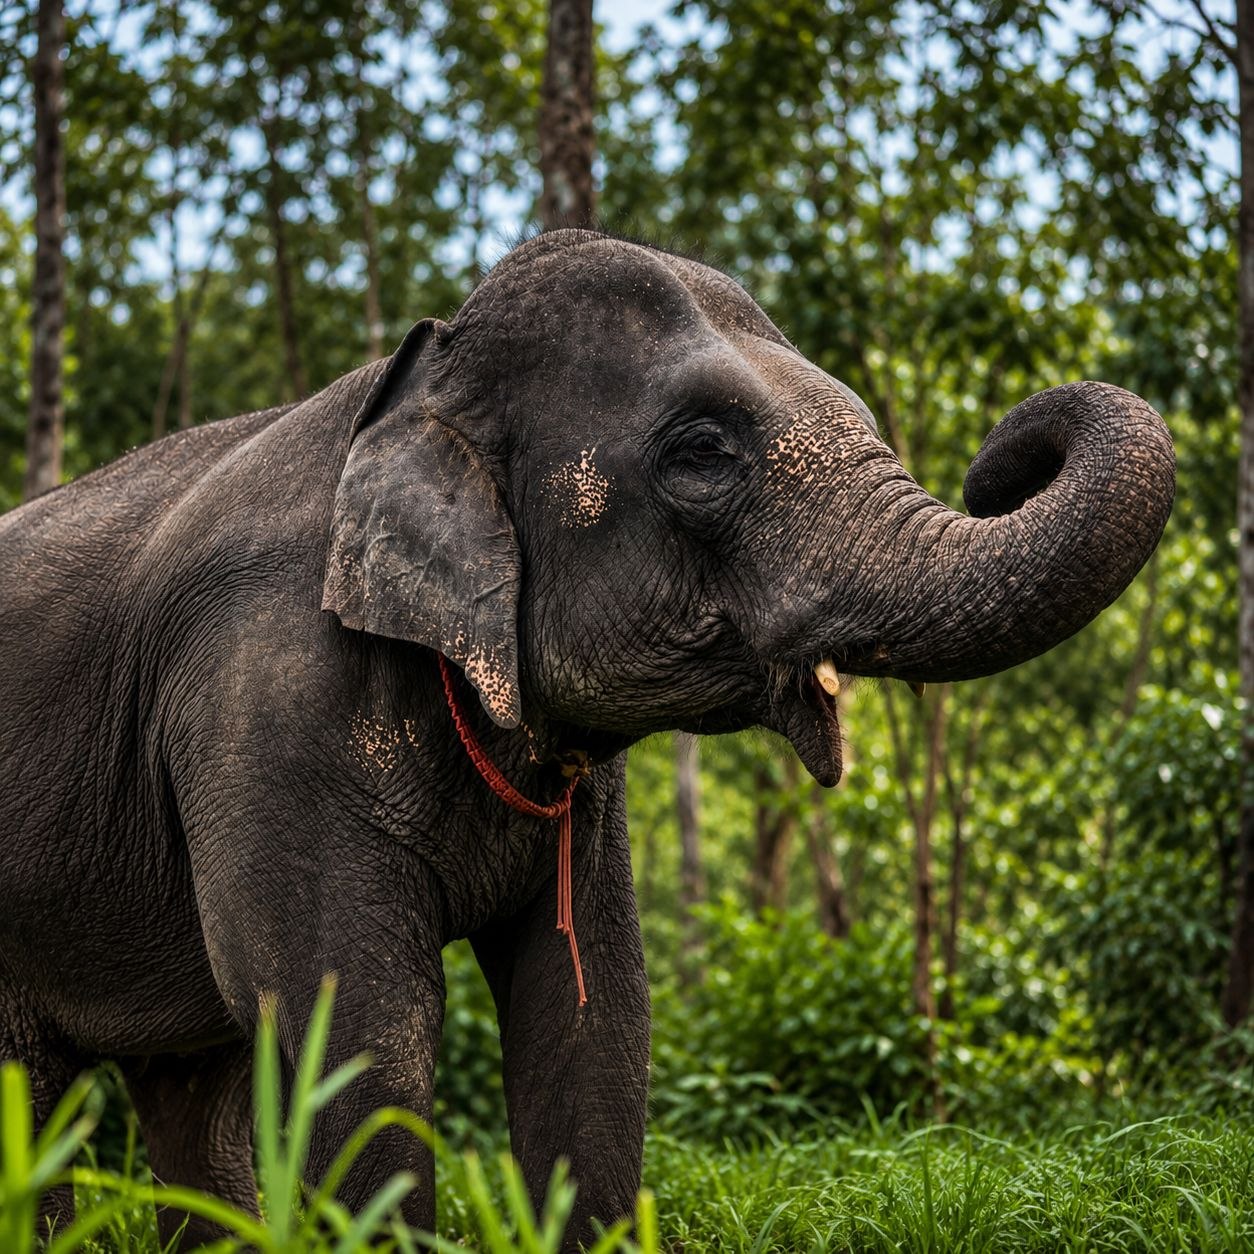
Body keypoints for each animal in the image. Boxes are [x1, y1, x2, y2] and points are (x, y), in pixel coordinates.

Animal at [0, 228, 1174, 1246]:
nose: (997, 462)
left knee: (188, 1096)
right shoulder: (263, 695)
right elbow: (359, 1030)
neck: (417, 380)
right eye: (702, 454)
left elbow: (592, 1019)